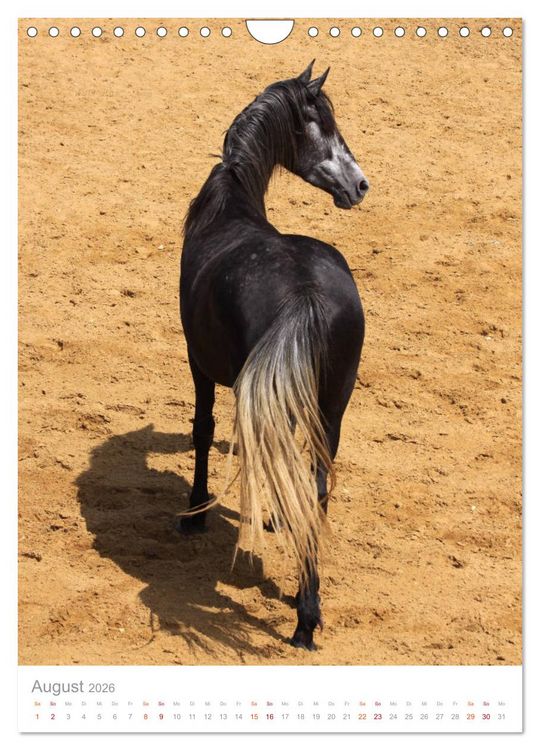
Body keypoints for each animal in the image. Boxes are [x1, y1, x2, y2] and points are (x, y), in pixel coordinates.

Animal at [178, 62, 368, 651]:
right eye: (320, 123)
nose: (360, 185)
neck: (230, 204)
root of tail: (305, 294)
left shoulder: (197, 361)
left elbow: (202, 430)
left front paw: (193, 513)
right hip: (332, 407)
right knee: (318, 481)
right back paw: (308, 605)